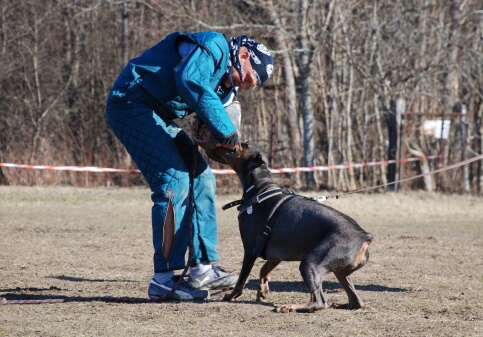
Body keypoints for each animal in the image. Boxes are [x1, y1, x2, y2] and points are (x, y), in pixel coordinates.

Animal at [216, 140, 374, 312]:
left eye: (244, 144)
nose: (232, 139)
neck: (259, 189)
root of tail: (363, 235)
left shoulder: (250, 250)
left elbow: (241, 280)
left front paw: (230, 296)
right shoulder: (275, 255)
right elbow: (264, 269)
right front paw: (262, 291)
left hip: (310, 263)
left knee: (319, 301)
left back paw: (289, 306)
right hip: (341, 272)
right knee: (356, 302)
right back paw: (341, 304)